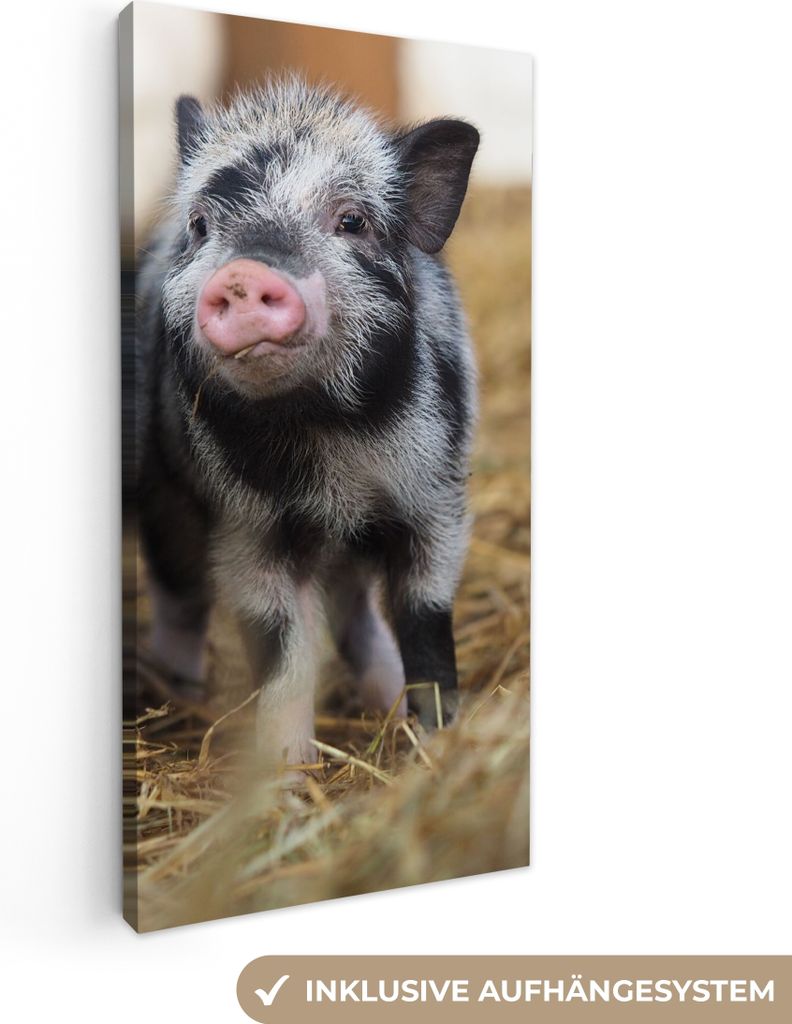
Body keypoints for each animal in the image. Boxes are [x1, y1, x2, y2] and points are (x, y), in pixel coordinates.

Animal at [135, 77, 479, 768]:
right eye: (201, 224)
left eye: (351, 221)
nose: (245, 274)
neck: (329, 442)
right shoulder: (248, 529)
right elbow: (282, 648)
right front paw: (289, 772)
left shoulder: (435, 502)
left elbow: (426, 619)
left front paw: (436, 740)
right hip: (163, 495)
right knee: (178, 596)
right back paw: (183, 692)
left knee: (357, 615)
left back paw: (385, 700)